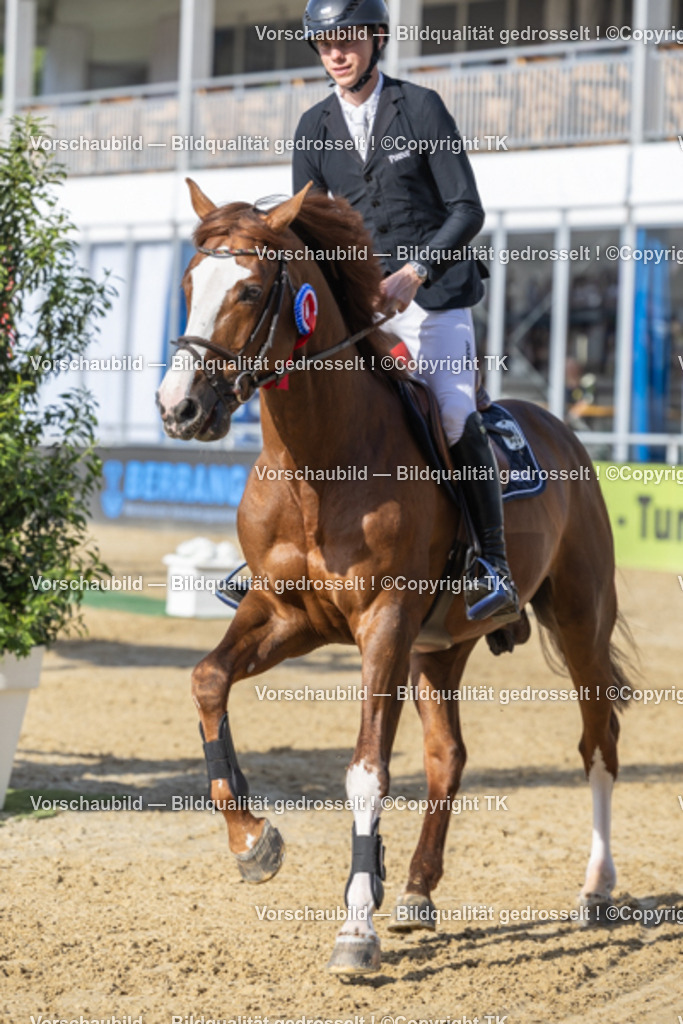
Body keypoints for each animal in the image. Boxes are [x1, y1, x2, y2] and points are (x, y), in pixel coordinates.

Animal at [156, 178, 633, 975]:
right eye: (190, 285)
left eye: (249, 290)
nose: (178, 409)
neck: (318, 463)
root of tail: (560, 429)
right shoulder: (284, 616)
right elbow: (207, 680)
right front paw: (254, 841)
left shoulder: (382, 623)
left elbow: (366, 770)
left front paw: (355, 929)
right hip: (439, 649)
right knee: (447, 757)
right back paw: (414, 888)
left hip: (578, 623)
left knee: (597, 743)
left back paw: (596, 886)